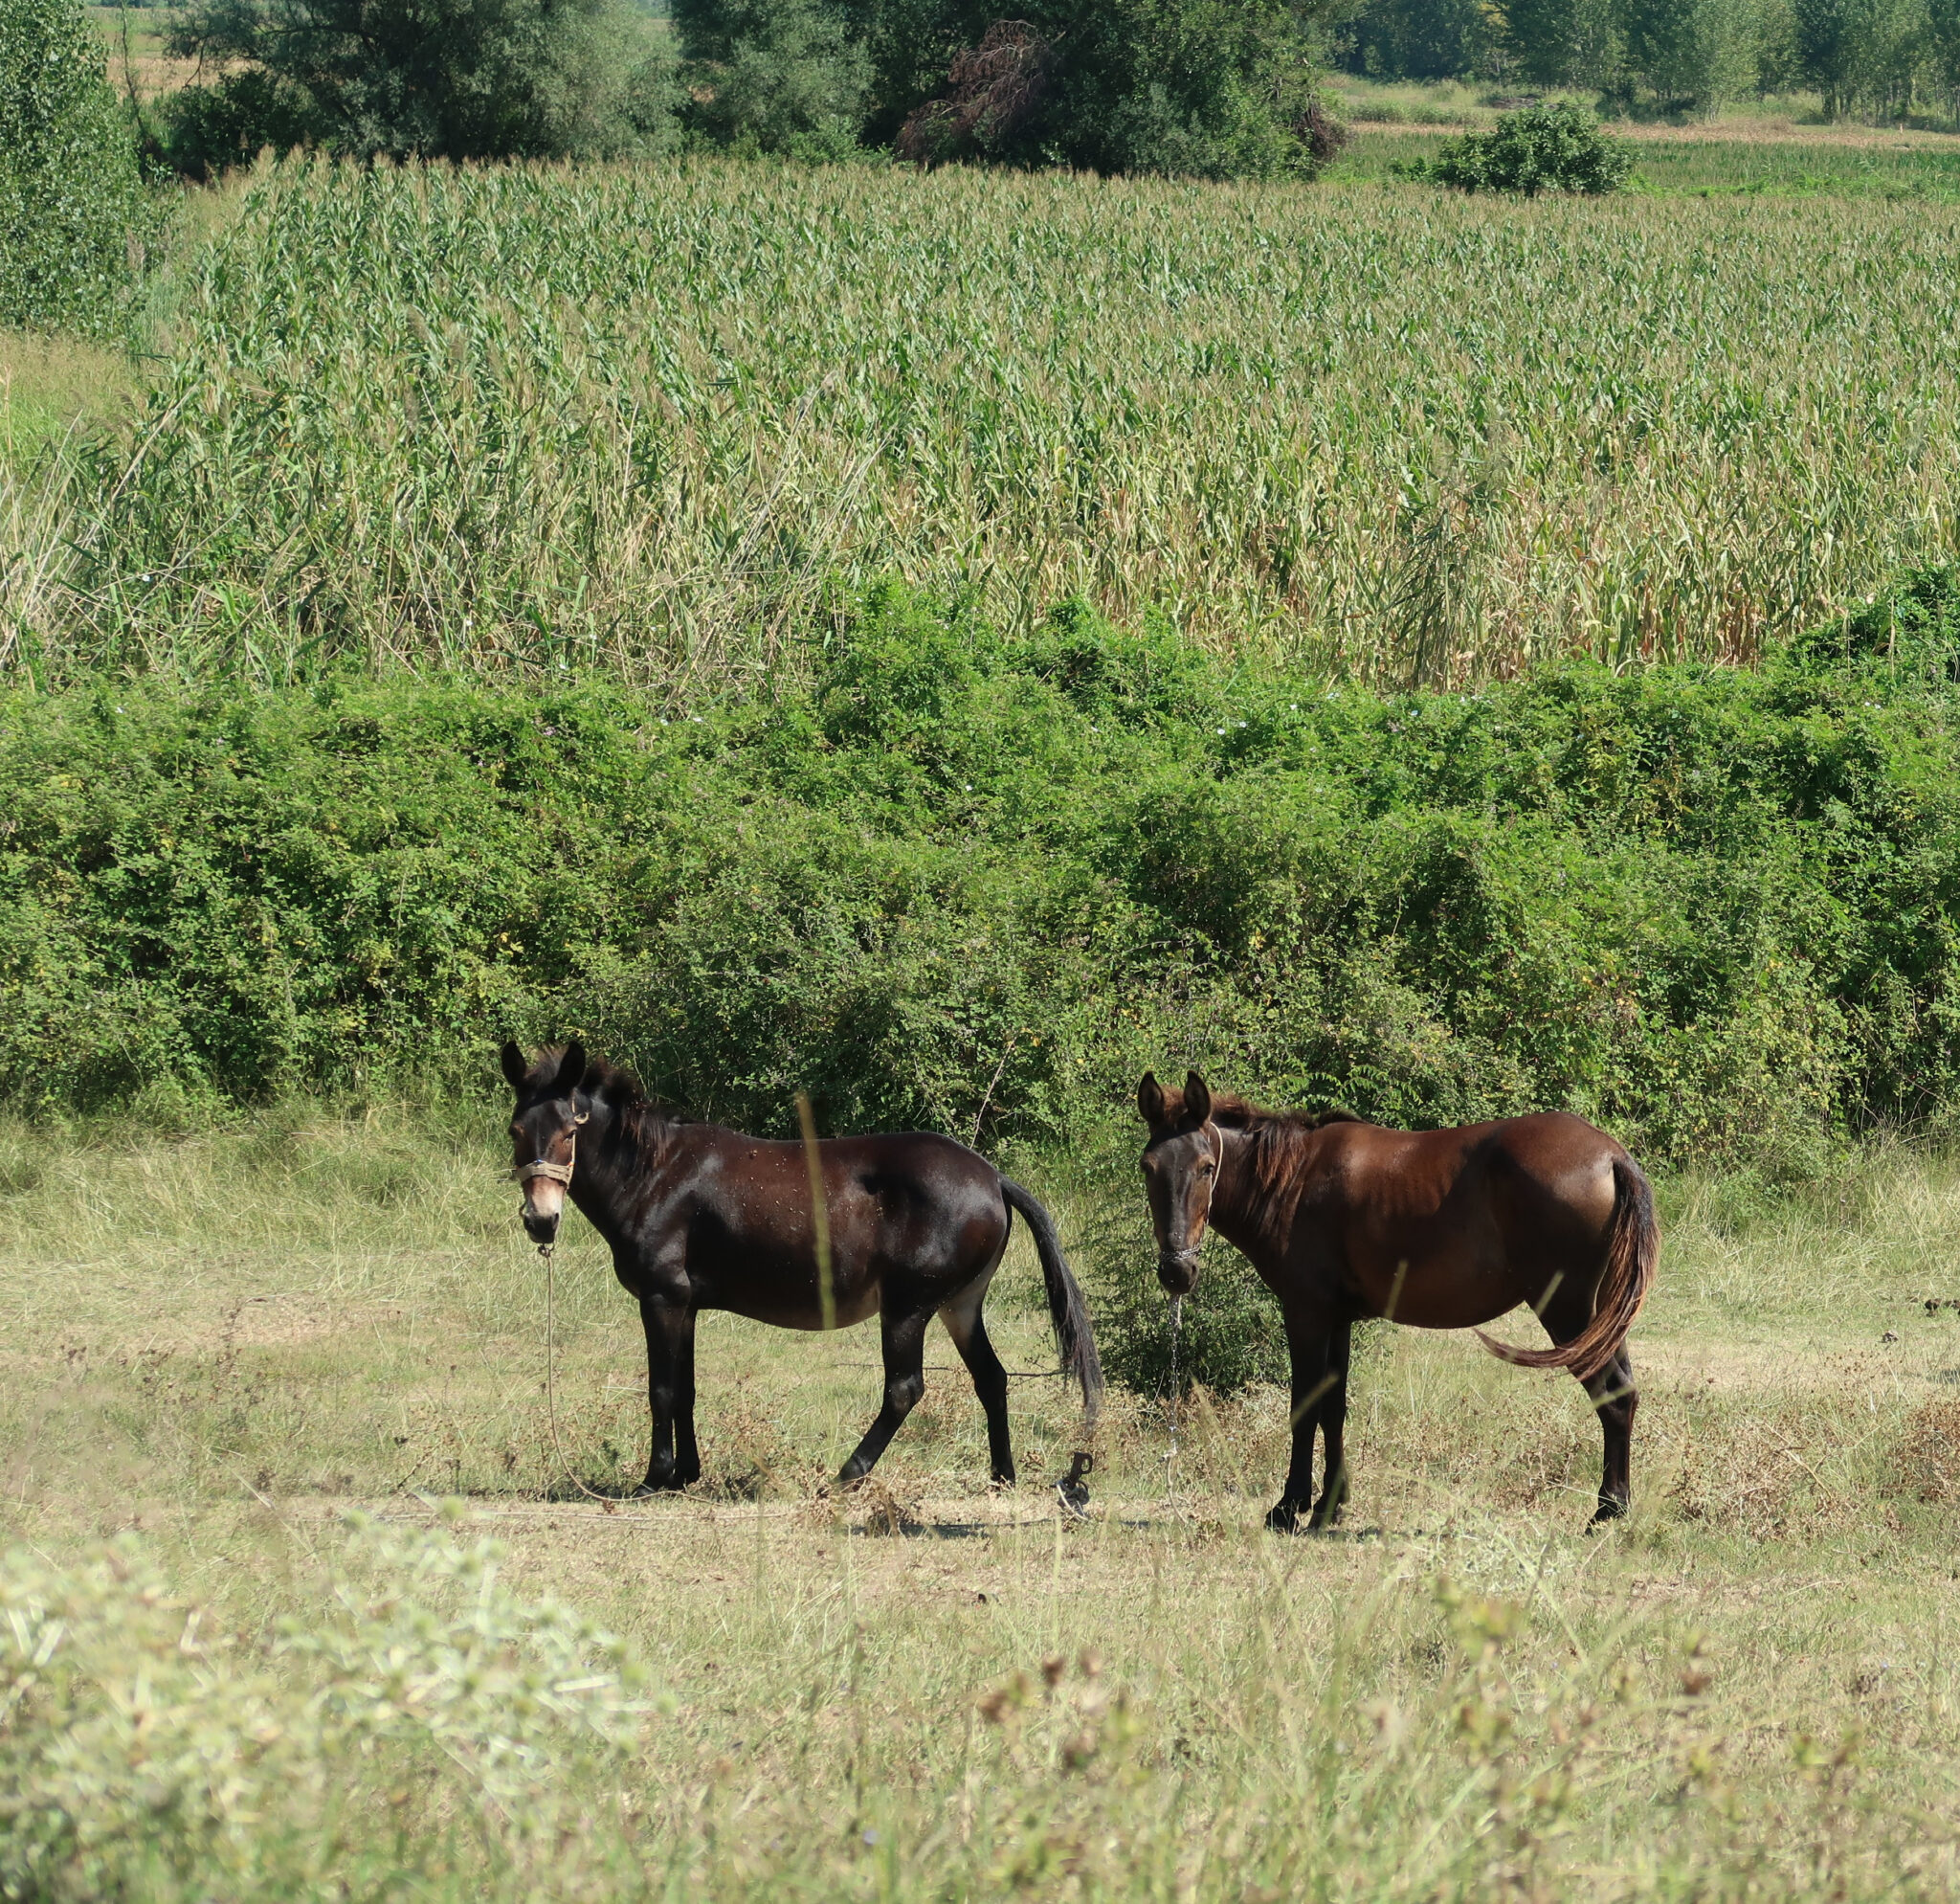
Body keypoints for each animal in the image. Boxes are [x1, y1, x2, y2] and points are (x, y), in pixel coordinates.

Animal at [505, 1050, 1097, 1497]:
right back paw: (1002, 1477)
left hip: (908, 1307)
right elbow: (688, 1388)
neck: (654, 1174)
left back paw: (846, 1476)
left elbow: (662, 1389)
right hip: (960, 1305)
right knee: (991, 1378)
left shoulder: (660, 1299)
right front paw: (686, 1477)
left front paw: (655, 1479)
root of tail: (993, 1176)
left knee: (904, 1389)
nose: (540, 1221)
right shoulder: (686, 1306)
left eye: (568, 1132)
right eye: (516, 1130)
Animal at [1136, 1074, 1654, 1536]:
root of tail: (1610, 1155)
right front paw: (1330, 1506)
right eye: (1148, 1167)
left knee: (1612, 1396)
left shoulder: (1306, 1314)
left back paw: (1606, 1511)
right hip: (1599, 1318)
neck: (1292, 1180)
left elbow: (1305, 1406)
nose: (1177, 1272)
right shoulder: (1337, 1320)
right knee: (1625, 1393)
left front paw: (1288, 1508)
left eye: (1207, 1167)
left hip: (1567, 1312)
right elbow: (1333, 1409)